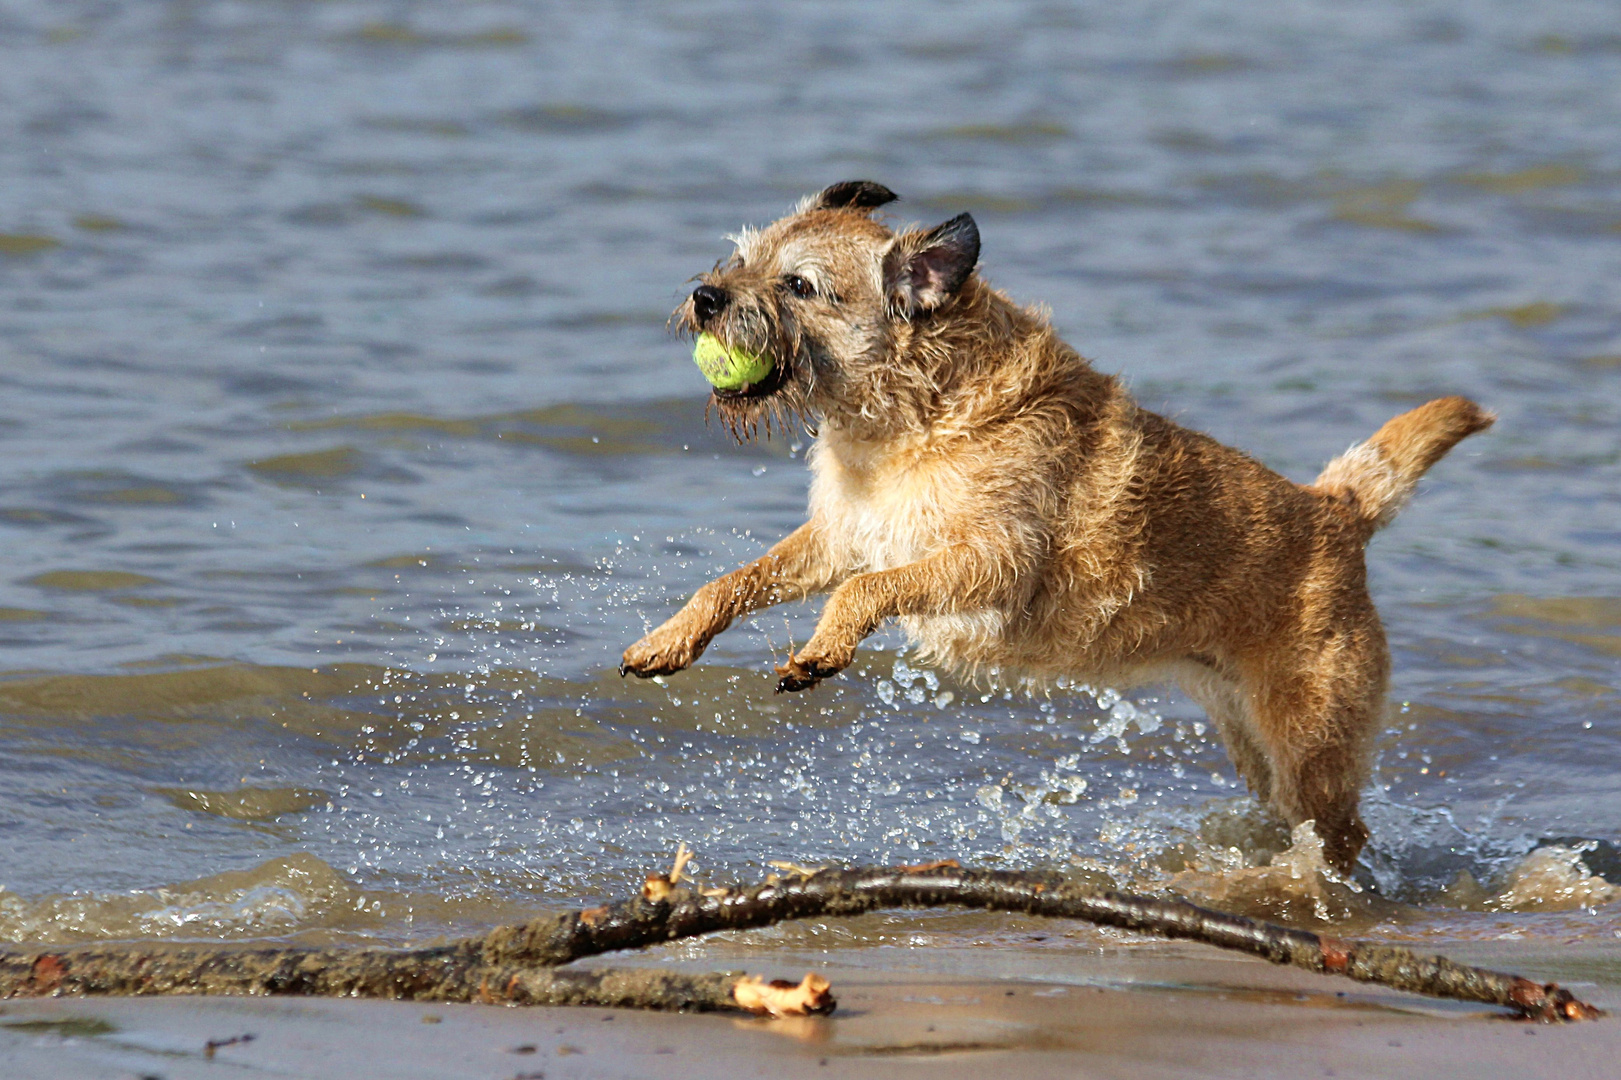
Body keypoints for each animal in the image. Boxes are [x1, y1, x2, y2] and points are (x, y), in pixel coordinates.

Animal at [619, 176, 1491, 869]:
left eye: (798, 287)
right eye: (742, 258)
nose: (706, 297)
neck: (907, 414)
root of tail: (1336, 509)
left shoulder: (989, 561)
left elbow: (866, 590)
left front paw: (822, 649)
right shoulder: (839, 537)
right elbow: (734, 580)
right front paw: (669, 639)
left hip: (1313, 738)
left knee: (1339, 831)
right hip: (1250, 735)